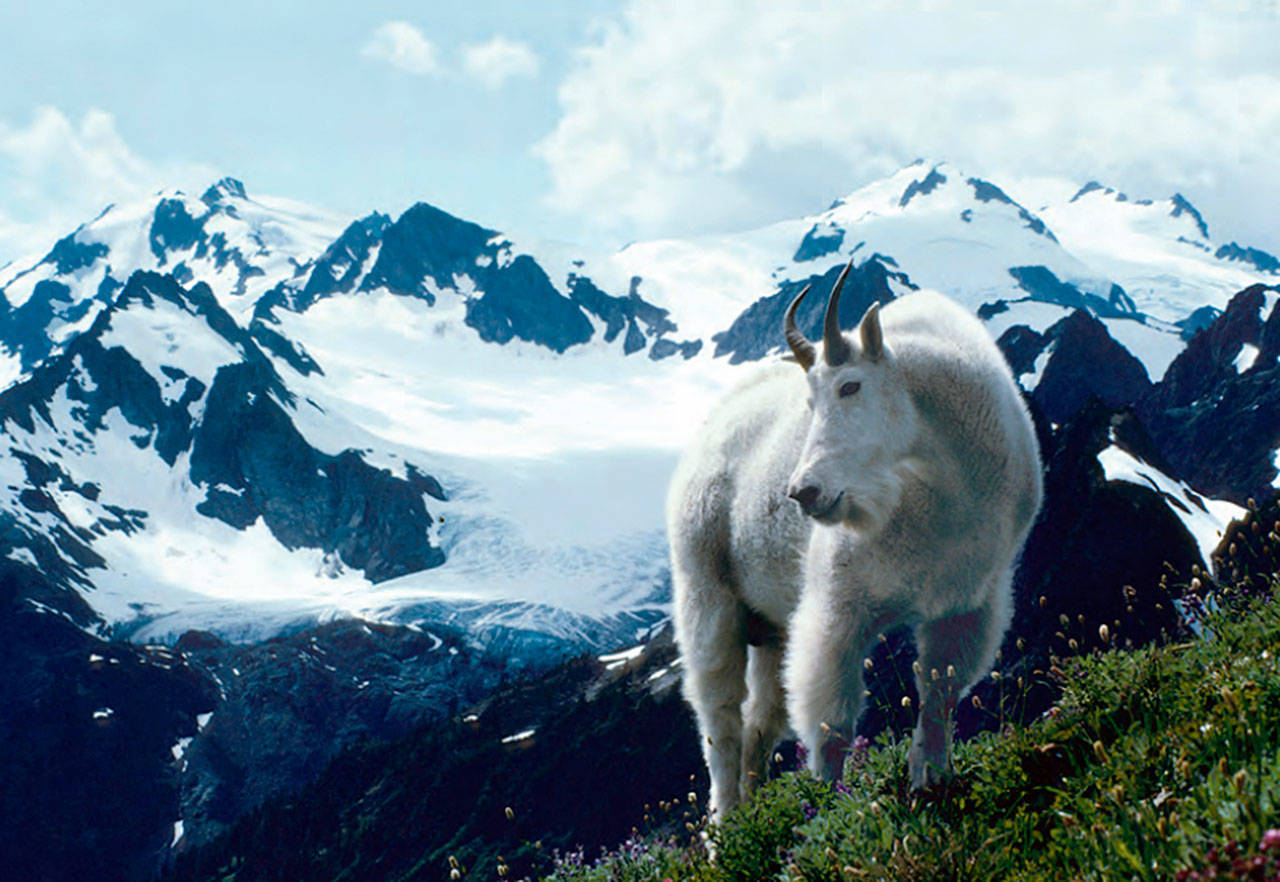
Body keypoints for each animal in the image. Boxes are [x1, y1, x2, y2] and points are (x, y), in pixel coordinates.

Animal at [665, 263, 1044, 819]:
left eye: (850, 386)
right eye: (809, 401)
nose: (804, 492)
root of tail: (704, 436)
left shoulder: (969, 600)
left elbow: (939, 693)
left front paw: (930, 782)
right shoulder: (839, 606)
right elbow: (833, 724)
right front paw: (827, 813)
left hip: (774, 626)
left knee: (760, 721)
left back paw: (753, 814)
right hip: (707, 593)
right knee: (720, 720)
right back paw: (726, 823)